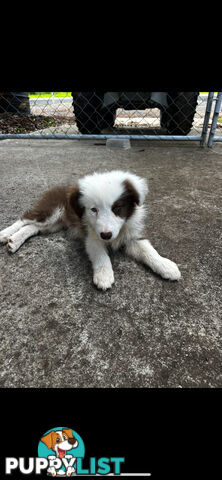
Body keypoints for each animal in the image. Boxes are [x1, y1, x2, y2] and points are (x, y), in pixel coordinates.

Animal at [0, 171, 180, 288]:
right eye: (93, 209)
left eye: (117, 208)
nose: (106, 235)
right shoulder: (92, 237)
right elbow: (101, 255)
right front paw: (104, 275)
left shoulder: (132, 236)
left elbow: (148, 251)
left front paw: (166, 266)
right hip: (50, 211)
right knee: (24, 219)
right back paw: (5, 234)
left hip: (56, 223)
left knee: (32, 227)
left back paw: (14, 241)